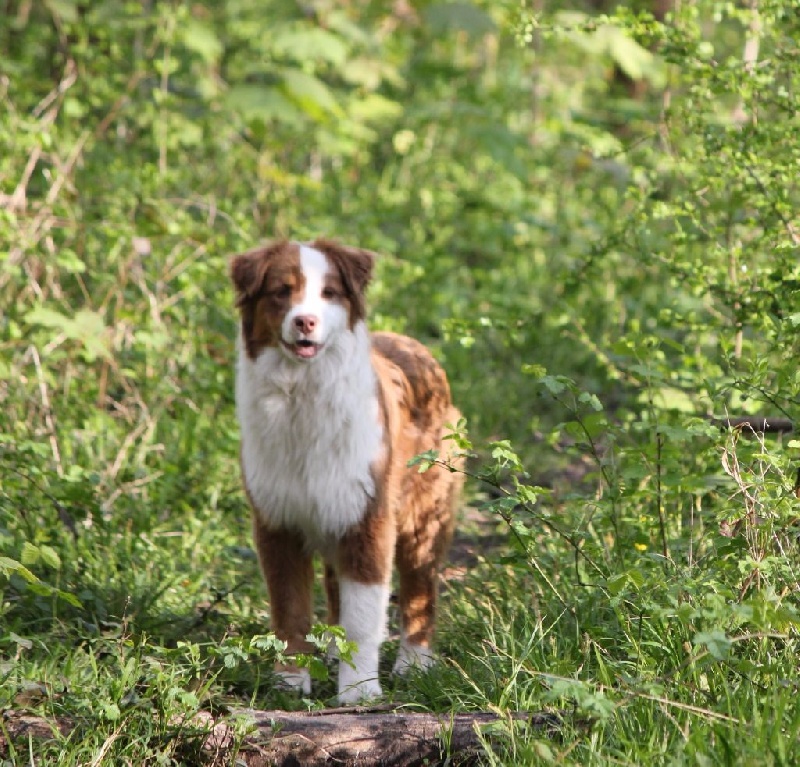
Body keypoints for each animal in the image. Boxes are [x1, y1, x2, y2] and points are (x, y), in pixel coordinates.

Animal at [231, 237, 462, 704]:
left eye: (329, 293)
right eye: (282, 291)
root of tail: (416, 346)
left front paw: (359, 691)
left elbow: (364, 616)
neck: (301, 395)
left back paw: (415, 662)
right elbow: (290, 608)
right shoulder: (278, 522)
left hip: (425, 514)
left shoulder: (367, 517)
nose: (305, 321)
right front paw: (290, 681)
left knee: (420, 588)